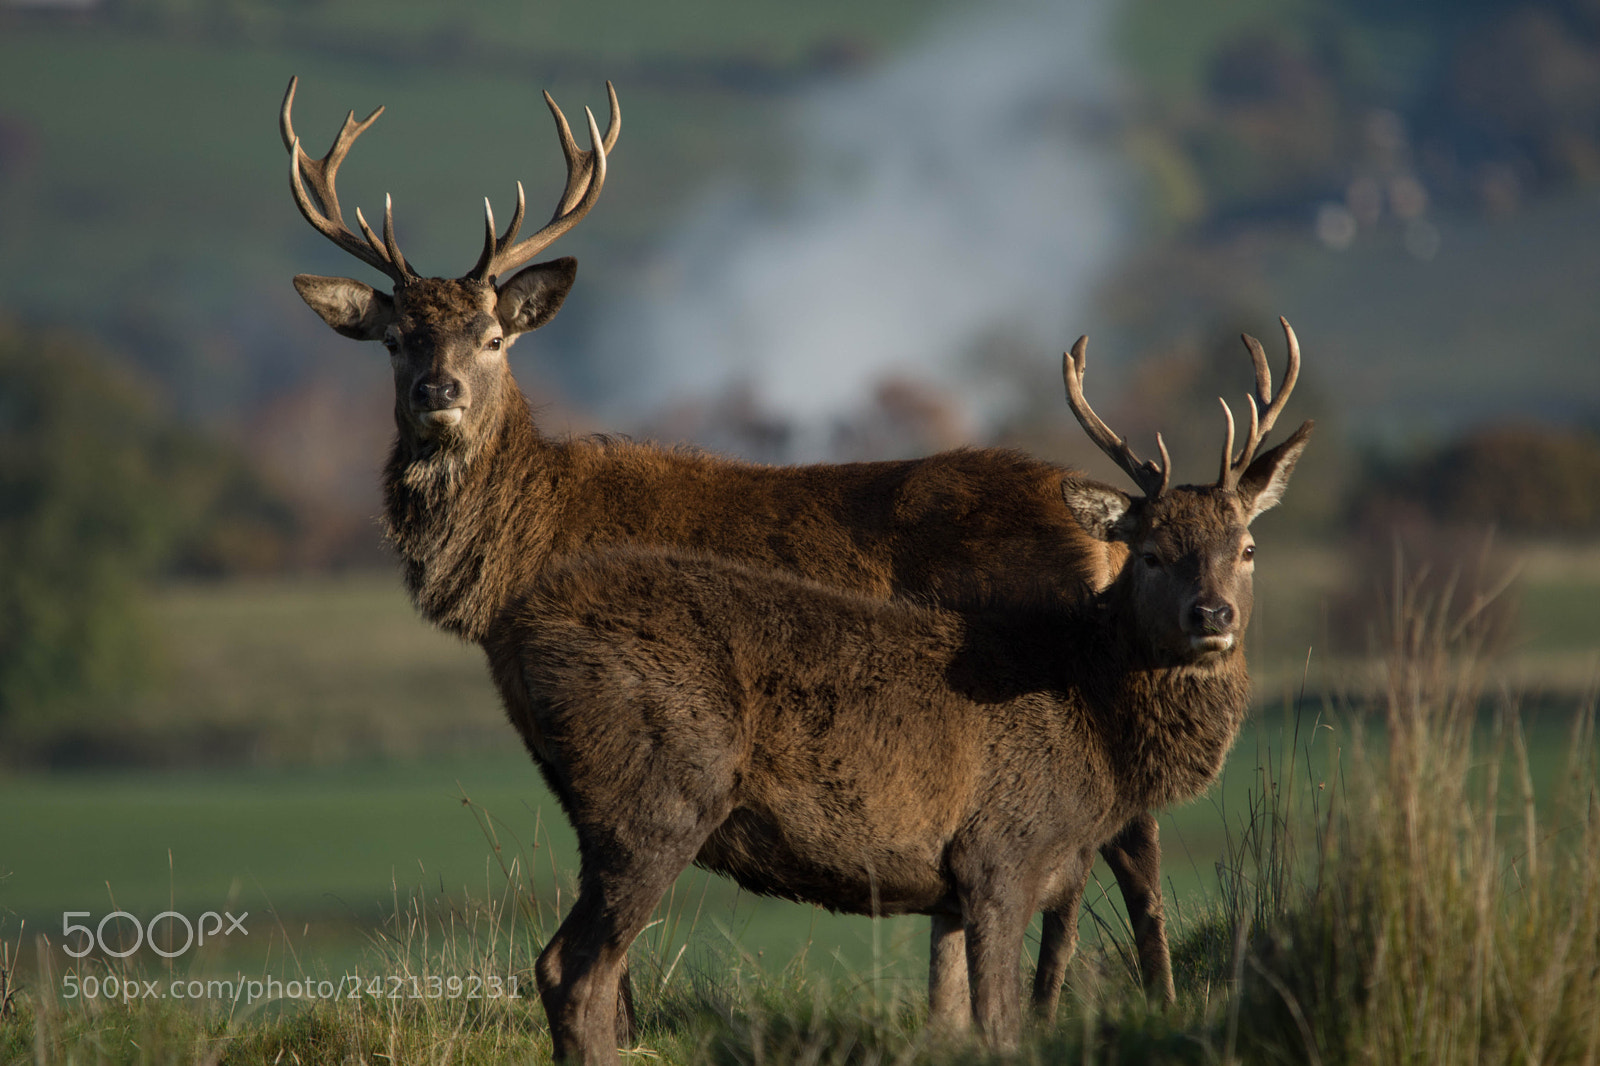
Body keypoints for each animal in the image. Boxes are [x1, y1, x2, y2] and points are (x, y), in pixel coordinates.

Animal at [491, 343, 1312, 1063]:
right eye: (1149, 553)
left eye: (1246, 547)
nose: (1212, 616)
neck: (1095, 732)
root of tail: (516, 633)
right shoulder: (1000, 851)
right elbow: (1000, 1026)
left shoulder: (972, 885)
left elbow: (960, 1016)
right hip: (657, 794)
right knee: (575, 972)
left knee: (569, 970)